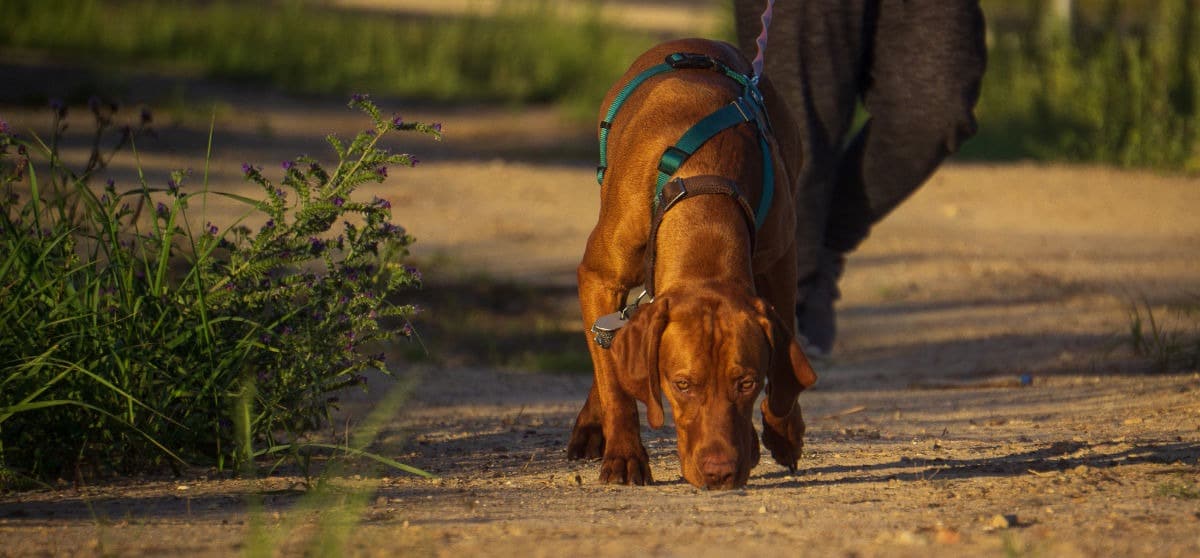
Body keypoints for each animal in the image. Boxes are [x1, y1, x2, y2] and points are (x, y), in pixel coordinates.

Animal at [568, 39, 816, 489]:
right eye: (681, 384)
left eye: (747, 383)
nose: (720, 473)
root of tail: (693, 42)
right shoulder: (598, 277)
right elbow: (615, 381)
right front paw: (625, 454)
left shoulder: (781, 260)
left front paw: (782, 430)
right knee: (608, 353)